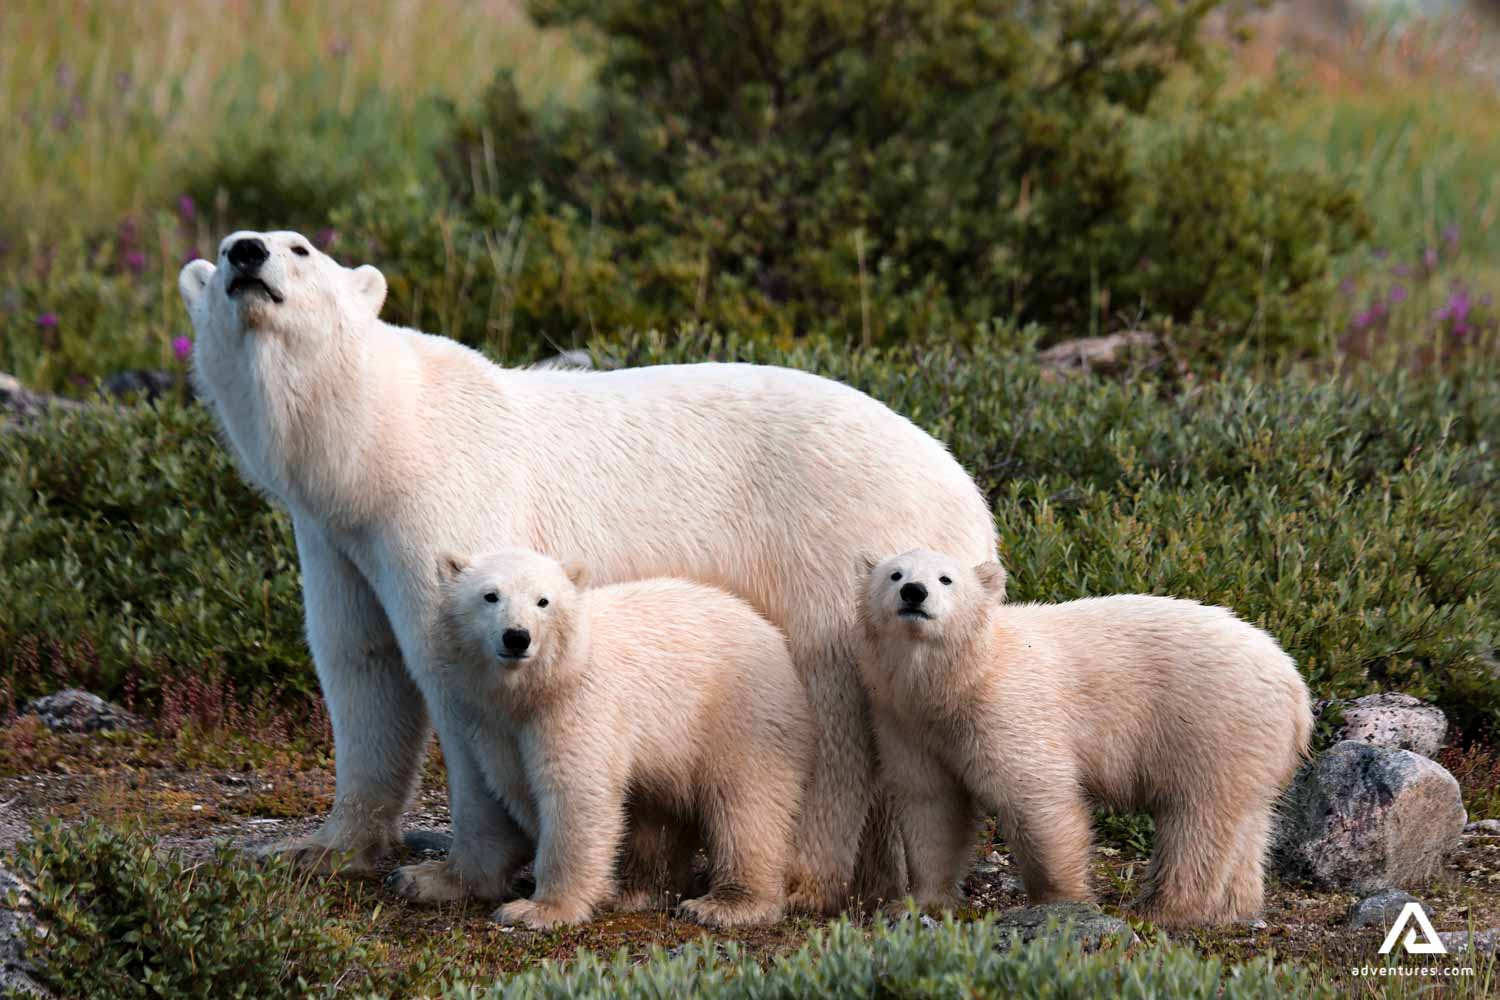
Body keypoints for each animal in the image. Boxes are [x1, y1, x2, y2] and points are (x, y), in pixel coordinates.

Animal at [430, 547, 813, 929]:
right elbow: (515, 785)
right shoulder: (495, 724)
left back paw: (726, 903)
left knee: (746, 803)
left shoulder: (577, 704)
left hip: (738, 714)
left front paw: (541, 909)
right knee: (655, 812)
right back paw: (639, 889)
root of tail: (770, 631)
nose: (516, 636)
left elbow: (574, 792)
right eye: (490, 595)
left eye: (543, 601)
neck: (542, 687)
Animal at [856, 549, 1312, 926]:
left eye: (946, 578)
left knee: (1198, 818)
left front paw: (1060, 902)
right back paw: (1236, 906)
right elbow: (930, 801)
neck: (959, 680)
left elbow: (1036, 797)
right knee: (1247, 820)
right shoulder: (905, 722)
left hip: (1214, 724)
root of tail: (1297, 692)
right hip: (1249, 743)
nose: (914, 592)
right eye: (895, 573)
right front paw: (918, 903)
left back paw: (1166, 909)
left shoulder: (1009, 706)